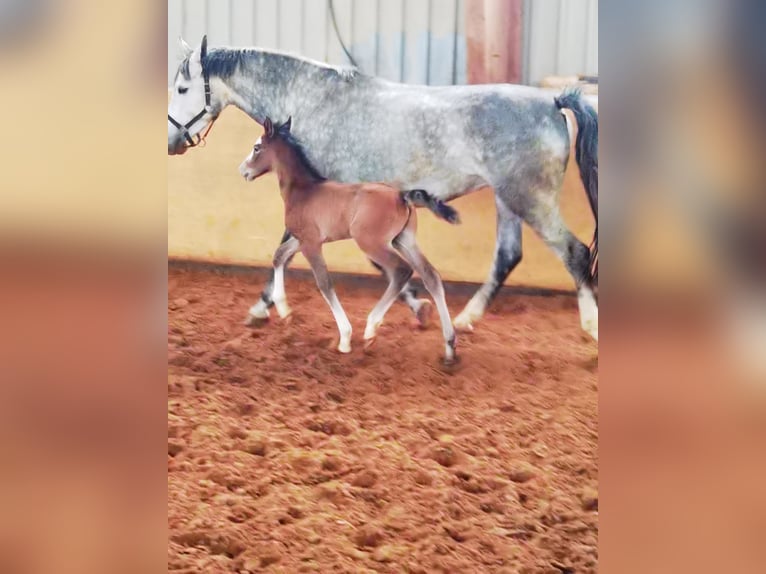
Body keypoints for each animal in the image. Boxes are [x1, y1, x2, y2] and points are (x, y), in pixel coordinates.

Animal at [237, 117, 460, 364]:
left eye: (257, 147)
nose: (243, 170)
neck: (304, 189)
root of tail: (401, 195)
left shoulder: (311, 243)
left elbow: (324, 282)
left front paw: (344, 338)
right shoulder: (302, 238)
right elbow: (279, 256)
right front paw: (285, 311)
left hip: (372, 243)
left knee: (401, 270)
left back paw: (371, 329)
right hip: (404, 240)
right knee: (431, 276)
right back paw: (449, 347)